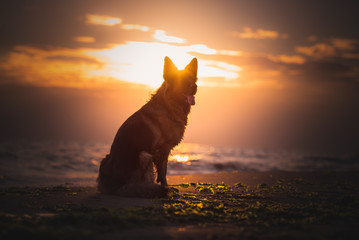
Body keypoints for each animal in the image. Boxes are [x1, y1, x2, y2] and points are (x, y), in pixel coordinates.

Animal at [98, 56, 198, 197]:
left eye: (194, 79)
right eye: (183, 80)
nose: (195, 86)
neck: (169, 105)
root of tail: (117, 187)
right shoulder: (162, 149)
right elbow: (163, 172)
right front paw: (166, 187)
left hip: (107, 159)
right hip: (144, 155)